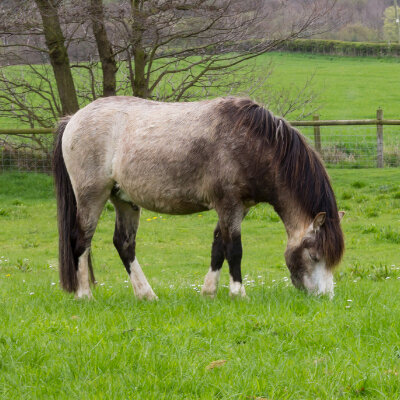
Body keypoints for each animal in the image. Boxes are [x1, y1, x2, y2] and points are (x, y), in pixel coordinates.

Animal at [53, 96, 346, 300]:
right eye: (315, 255)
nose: (326, 297)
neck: (252, 143)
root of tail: (73, 119)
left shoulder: (239, 208)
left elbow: (218, 246)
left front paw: (209, 292)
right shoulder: (228, 204)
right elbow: (234, 249)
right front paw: (238, 293)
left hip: (124, 200)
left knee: (124, 244)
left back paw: (146, 295)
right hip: (92, 196)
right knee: (81, 240)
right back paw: (84, 295)